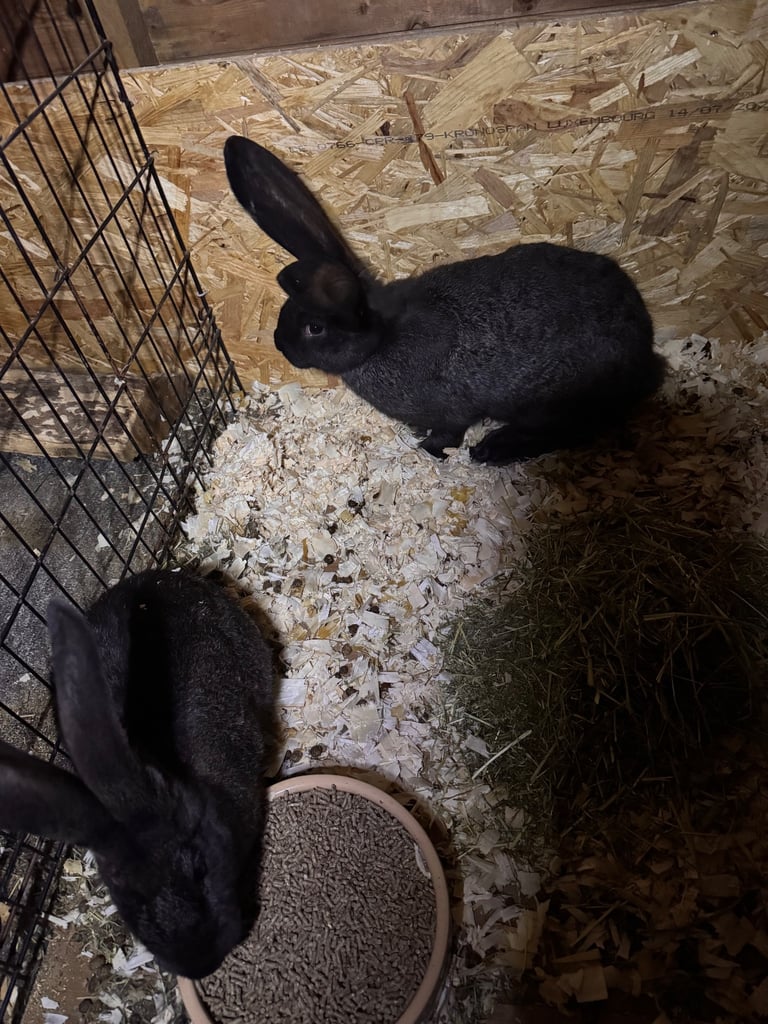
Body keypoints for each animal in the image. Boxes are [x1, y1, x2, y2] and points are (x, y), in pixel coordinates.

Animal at [223, 134, 666, 464]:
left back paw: (493, 450)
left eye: (314, 327)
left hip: (556, 401)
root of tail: (644, 350)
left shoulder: (451, 411)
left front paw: (429, 449)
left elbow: (448, 431)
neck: (382, 339)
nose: (279, 345)